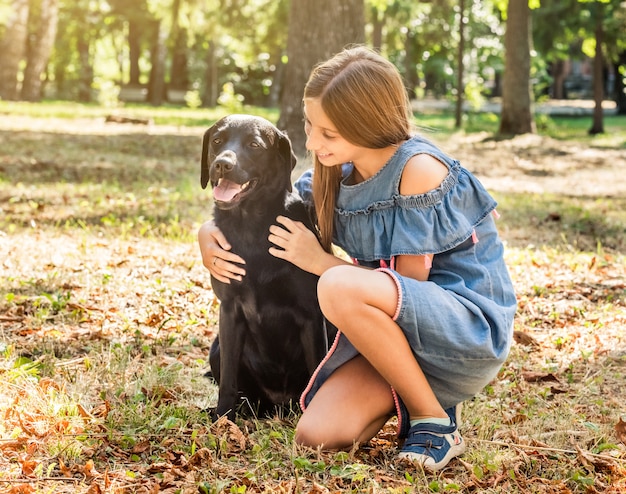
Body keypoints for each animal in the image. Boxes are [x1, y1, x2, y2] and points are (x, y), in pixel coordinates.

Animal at [201, 115, 332, 420]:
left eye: (254, 145)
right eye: (217, 141)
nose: (222, 164)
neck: (252, 229)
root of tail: (278, 405)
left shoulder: (311, 314)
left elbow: (316, 373)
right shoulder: (230, 310)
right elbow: (228, 379)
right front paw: (223, 418)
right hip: (216, 346)